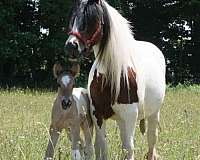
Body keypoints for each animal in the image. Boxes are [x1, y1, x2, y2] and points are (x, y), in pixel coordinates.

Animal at [64, 0, 166, 159]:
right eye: (72, 18)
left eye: (91, 18)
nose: (71, 46)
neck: (112, 76)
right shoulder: (98, 115)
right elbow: (102, 146)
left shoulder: (130, 115)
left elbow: (129, 148)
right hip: (121, 120)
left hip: (153, 113)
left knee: (151, 139)